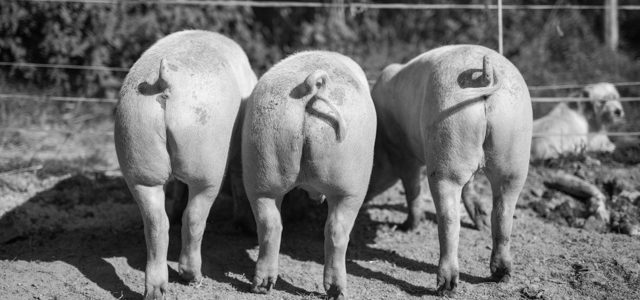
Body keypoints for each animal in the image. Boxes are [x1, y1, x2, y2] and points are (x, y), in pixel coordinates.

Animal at [114, 29, 256, 298]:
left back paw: (156, 290)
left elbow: (179, 187)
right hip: (207, 165)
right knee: (195, 216)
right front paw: (245, 228)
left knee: (156, 221)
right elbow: (239, 182)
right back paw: (194, 278)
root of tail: (164, 80)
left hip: (137, 152)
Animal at [242, 50, 378, 298]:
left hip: (262, 163)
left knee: (270, 224)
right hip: (351, 183)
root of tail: (313, 85)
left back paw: (262, 286)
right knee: (336, 230)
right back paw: (337, 291)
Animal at [368, 45, 532, 296]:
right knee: (503, 212)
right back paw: (499, 271)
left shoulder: (405, 156)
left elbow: (412, 190)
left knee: (449, 218)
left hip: (446, 138)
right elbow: (470, 188)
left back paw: (445, 288)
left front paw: (407, 228)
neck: (383, 141)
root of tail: (484, 76)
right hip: (514, 152)